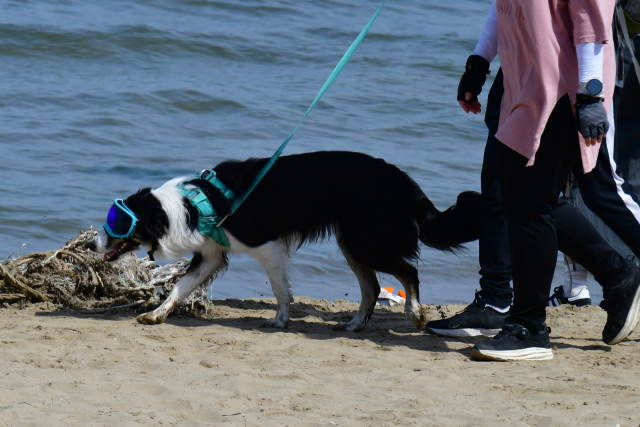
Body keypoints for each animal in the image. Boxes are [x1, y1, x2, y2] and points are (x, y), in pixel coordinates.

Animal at [89, 152, 480, 332]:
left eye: (116, 222)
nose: (91, 245)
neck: (190, 205)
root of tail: (404, 182)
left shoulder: (265, 245)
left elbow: (279, 288)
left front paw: (280, 319)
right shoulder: (211, 254)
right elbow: (179, 287)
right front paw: (156, 313)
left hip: (366, 241)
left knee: (407, 272)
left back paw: (415, 312)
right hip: (352, 242)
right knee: (371, 288)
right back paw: (354, 325)